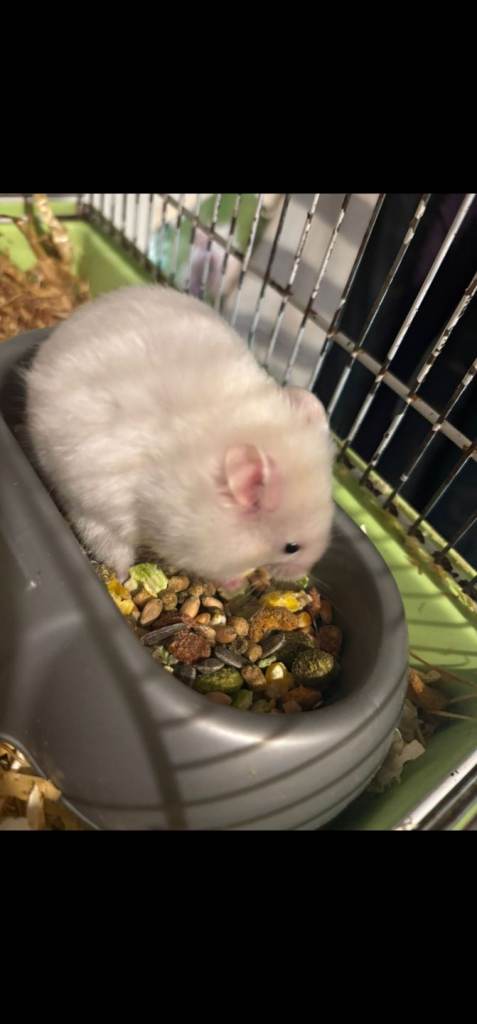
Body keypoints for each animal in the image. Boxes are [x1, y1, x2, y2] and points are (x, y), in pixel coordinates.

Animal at [25, 285, 334, 588]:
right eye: (291, 547)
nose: (301, 573)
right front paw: (237, 585)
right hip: (93, 511)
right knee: (110, 546)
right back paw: (124, 579)